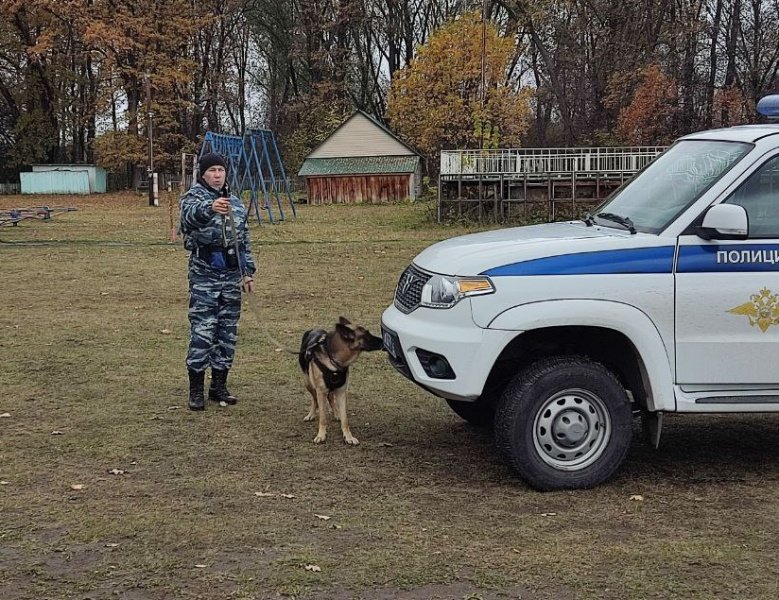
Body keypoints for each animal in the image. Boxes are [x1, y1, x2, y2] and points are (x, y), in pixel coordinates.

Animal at [298, 318, 384, 446]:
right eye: (366, 335)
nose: (383, 341)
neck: (335, 362)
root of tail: (313, 330)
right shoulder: (321, 391)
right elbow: (322, 417)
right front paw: (321, 435)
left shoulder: (341, 391)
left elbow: (345, 419)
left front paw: (348, 436)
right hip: (308, 383)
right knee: (315, 399)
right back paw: (311, 414)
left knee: (330, 398)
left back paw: (336, 413)